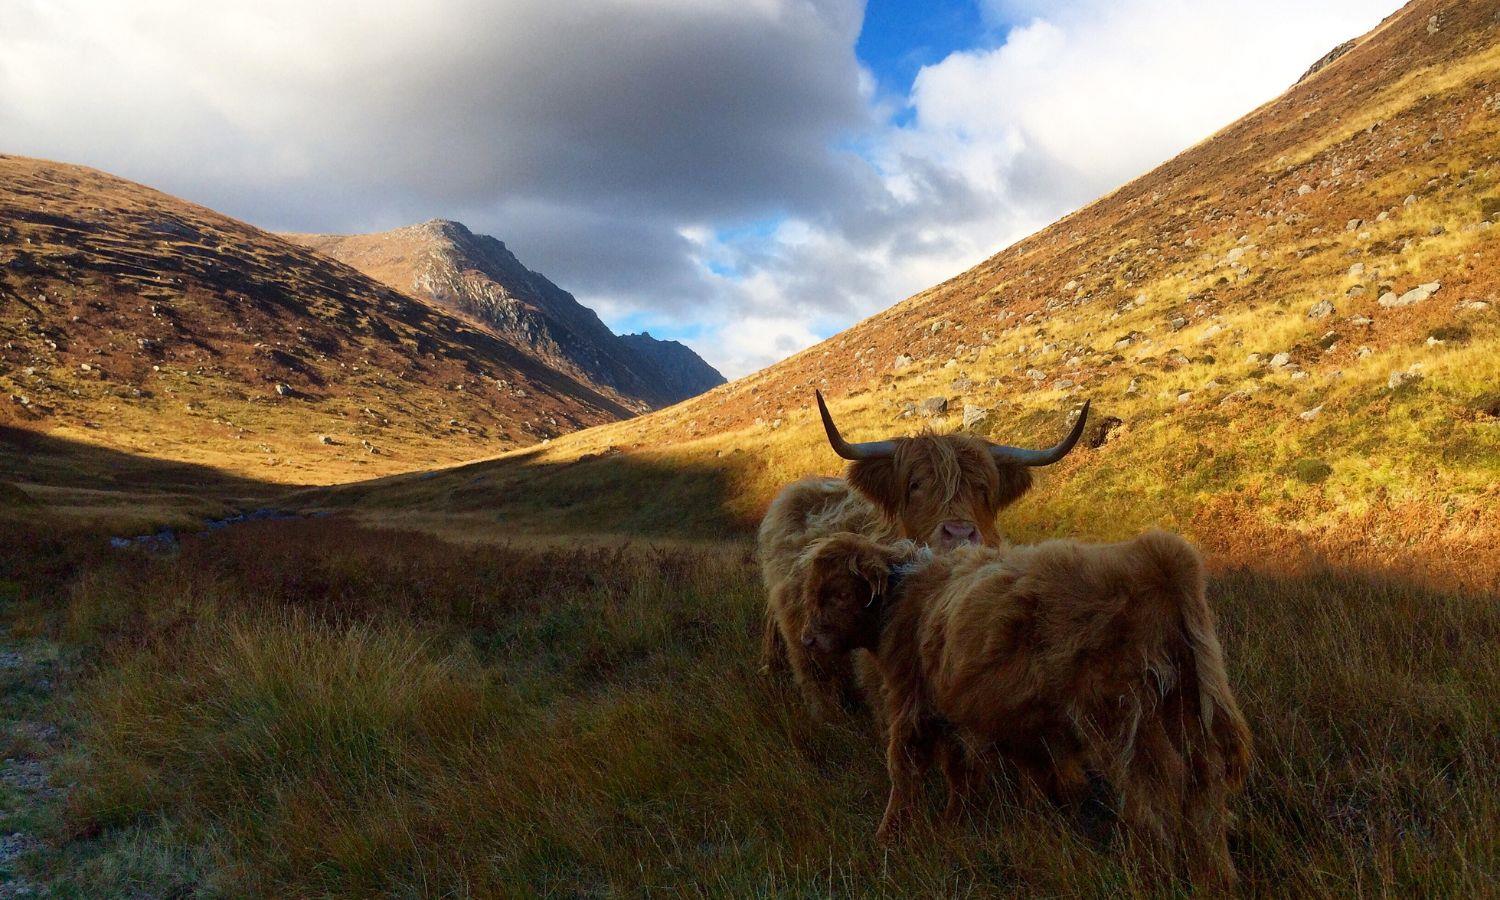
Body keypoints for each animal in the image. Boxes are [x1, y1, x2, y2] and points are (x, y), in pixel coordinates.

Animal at [798, 530, 1252, 888]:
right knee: (1203, 781)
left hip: (1120, 715)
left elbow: (904, 770)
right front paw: (955, 821)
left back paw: (1150, 870)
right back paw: (1215, 876)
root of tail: (1154, 553)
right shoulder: (974, 717)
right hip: (1184, 701)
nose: (806, 639)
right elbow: (964, 772)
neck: (901, 603)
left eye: (836, 594)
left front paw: (887, 837)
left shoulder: (913, 705)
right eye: (811, 595)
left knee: (1159, 785)